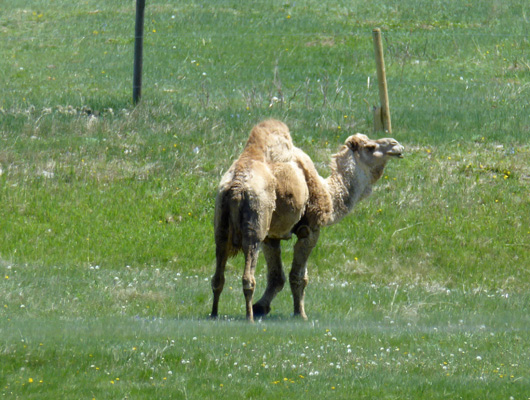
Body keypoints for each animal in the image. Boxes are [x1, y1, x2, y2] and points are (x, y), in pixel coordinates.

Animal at [208, 119, 402, 322]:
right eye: (370, 147)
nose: (395, 144)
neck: (328, 192)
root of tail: (236, 186)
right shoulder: (309, 229)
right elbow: (298, 276)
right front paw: (300, 314)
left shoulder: (272, 235)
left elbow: (277, 277)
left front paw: (261, 307)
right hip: (255, 222)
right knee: (248, 274)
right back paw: (249, 317)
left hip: (221, 220)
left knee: (218, 273)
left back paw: (214, 314)